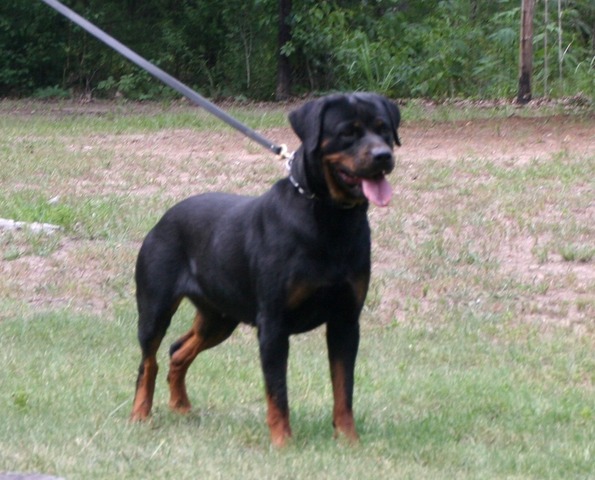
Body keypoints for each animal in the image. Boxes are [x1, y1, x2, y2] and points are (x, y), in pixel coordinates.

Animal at [130, 93, 400, 446]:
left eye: (384, 130)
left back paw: (181, 406)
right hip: (156, 307)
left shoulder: (345, 321)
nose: (383, 156)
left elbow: (344, 389)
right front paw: (283, 442)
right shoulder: (273, 323)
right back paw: (140, 414)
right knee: (148, 361)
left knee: (178, 350)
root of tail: (162, 219)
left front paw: (348, 439)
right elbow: (277, 391)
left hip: (220, 317)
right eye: (347, 133)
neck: (329, 219)